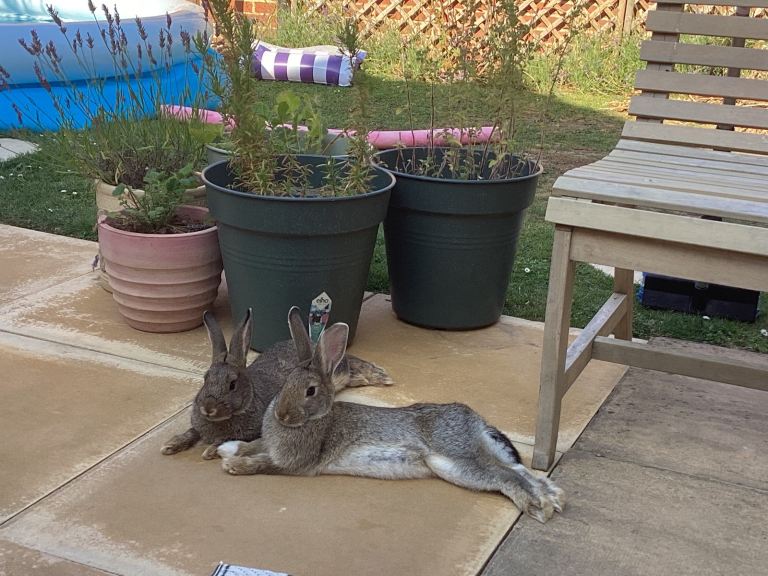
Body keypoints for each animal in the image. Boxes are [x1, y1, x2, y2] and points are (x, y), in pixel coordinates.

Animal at [162, 306, 393, 459]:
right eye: (205, 378)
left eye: (232, 385)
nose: (207, 409)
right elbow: (192, 432)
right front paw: (171, 445)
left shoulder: (254, 431)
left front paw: (209, 451)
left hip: (338, 371)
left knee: (349, 366)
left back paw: (375, 375)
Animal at [217, 316, 565, 524]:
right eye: (285, 381)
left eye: (310, 391)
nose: (282, 414)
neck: (315, 418)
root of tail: (474, 419)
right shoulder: (270, 443)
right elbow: (253, 445)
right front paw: (226, 449)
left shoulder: (296, 463)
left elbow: (263, 463)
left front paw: (233, 465)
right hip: (453, 464)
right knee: (516, 470)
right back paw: (552, 497)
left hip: (454, 457)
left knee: (507, 477)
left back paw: (540, 507)